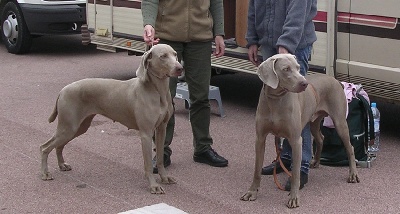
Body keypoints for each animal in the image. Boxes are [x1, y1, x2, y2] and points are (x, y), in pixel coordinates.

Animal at [241, 53, 360, 207]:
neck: (276, 101)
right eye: (286, 69)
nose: (304, 83)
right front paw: (252, 192)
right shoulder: (260, 138)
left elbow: (296, 174)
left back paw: (353, 174)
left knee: (350, 147)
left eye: (298, 68)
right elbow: (257, 170)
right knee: (320, 138)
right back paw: (315, 161)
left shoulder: (296, 140)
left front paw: (293, 198)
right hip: (314, 120)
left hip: (340, 122)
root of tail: (336, 81)